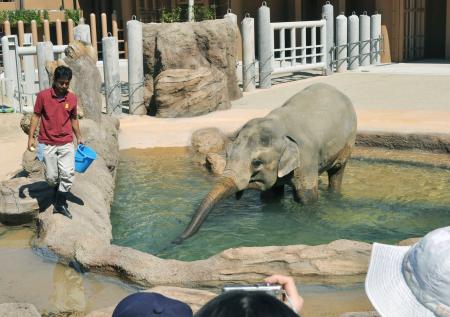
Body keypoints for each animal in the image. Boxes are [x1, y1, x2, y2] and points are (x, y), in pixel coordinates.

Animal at [174, 82, 356, 243]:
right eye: (228, 154)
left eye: (256, 162)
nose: (175, 240)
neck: (278, 127)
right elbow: (271, 196)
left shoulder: (306, 158)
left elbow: (307, 197)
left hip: (348, 142)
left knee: (337, 172)